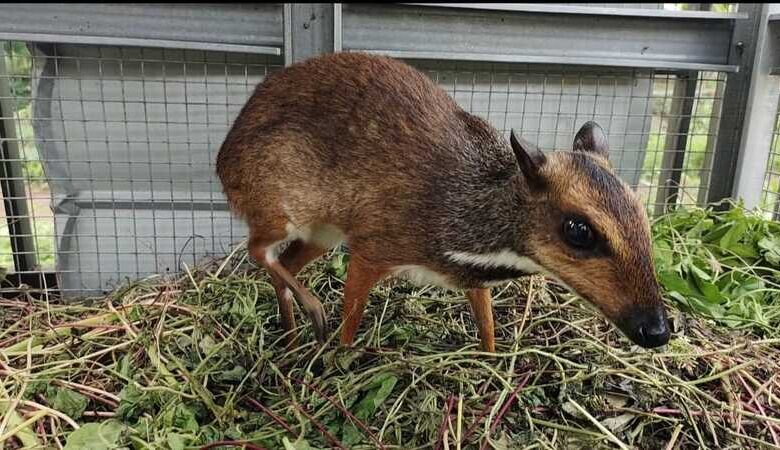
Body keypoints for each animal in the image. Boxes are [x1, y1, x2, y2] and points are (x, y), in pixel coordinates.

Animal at [216, 52, 672, 352]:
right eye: (579, 230)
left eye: (641, 214)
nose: (657, 330)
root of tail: (222, 160)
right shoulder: (371, 248)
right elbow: (350, 323)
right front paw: (341, 356)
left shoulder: (471, 281)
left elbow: (487, 330)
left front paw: (491, 361)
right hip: (280, 207)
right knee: (258, 251)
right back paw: (312, 314)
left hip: (321, 234)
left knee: (284, 264)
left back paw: (291, 335)